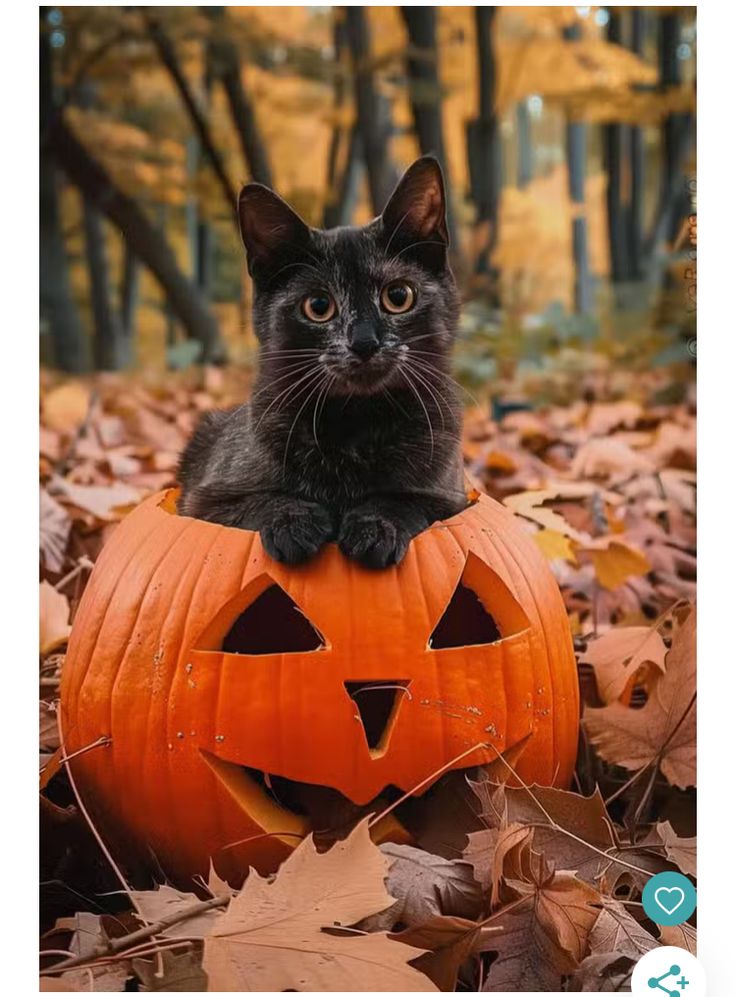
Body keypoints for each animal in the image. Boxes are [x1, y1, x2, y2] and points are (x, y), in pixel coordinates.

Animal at [178, 152, 466, 564]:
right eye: (318, 306)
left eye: (398, 296)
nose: (364, 342)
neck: (357, 425)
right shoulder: (204, 501)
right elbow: (265, 499)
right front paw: (294, 523)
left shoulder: (451, 499)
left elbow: (404, 499)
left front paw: (375, 527)